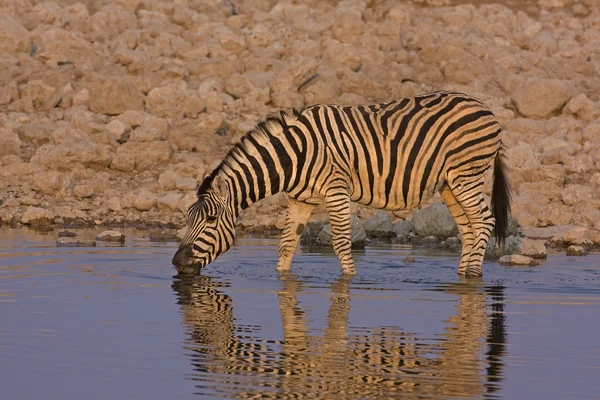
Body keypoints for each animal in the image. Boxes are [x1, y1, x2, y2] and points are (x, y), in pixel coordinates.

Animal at [172, 92, 510, 276]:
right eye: (188, 218)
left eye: (211, 220)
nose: (176, 262)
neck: (294, 155)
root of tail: (486, 108)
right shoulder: (300, 199)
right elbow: (287, 244)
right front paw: (282, 279)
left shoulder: (336, 191)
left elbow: (342, 243)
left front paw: (348, 281)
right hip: (449, 184)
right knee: (468, 228)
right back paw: (463, 275)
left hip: (465, 175)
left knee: (484, 221)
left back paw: (473, 276)